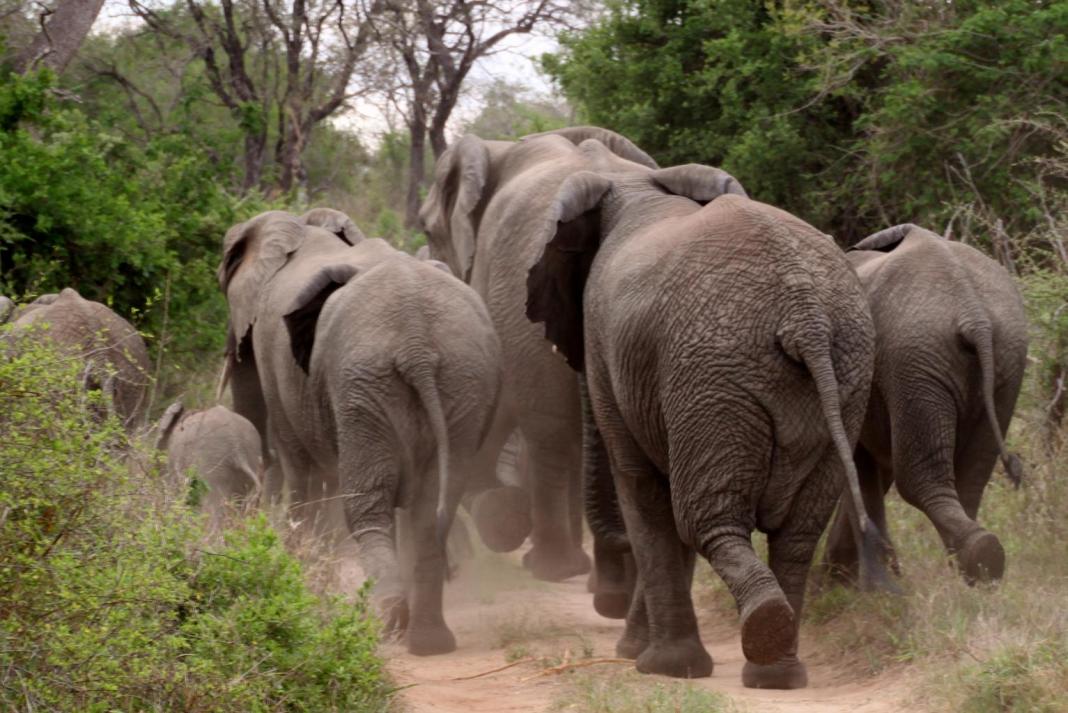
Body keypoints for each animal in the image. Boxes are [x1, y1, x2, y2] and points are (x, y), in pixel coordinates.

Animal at [218, 209, 502, 655]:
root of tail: (417, 346)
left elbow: (304, 475)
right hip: (461, 382)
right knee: (428, 510)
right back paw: (428, 641)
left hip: (364, 386)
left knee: (366, 505)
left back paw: (388, 621)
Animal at [523, 144, 891, 689]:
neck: (633, 185)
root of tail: (803, 311)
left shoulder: (608, 343)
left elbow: (643, 491)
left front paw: (656, 665)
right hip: (841, 375)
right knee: (796, 532)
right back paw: (775, 671)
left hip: (715, 377)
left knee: (704, 518)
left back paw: (753, 645)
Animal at [823, 224, 1028, 585]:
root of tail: (974, 314)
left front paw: (860, 586)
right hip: (1003, 359)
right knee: (972, 475)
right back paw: (975, 568)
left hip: (915, 358)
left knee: (918, 480)